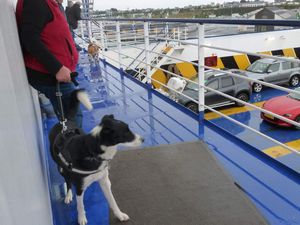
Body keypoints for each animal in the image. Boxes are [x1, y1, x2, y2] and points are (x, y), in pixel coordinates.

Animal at [49, 89, 144, 225]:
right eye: (125, 132)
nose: (143, 139)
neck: (92, 153)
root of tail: (64, 123)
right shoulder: (79, 187)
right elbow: (80, 205)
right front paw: (81, 218)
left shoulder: (104, 181)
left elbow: (112, 200)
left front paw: (119, 215)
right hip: (61, 168)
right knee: (67, 181)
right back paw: (68, 195)